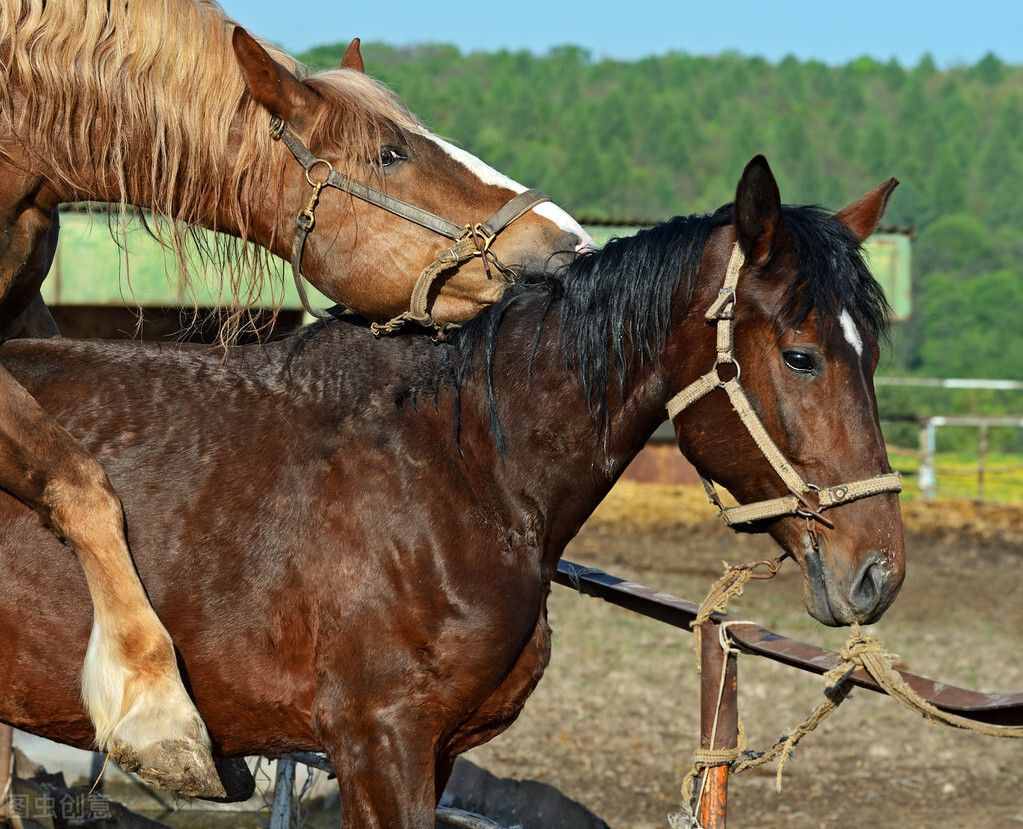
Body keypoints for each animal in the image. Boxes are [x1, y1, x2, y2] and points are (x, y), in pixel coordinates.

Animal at [0, 155, 904, 818]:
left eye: (872, 353)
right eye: (799, 355)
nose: (878, 571)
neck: (457, 469)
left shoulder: (429, 752)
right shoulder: (380, 742)